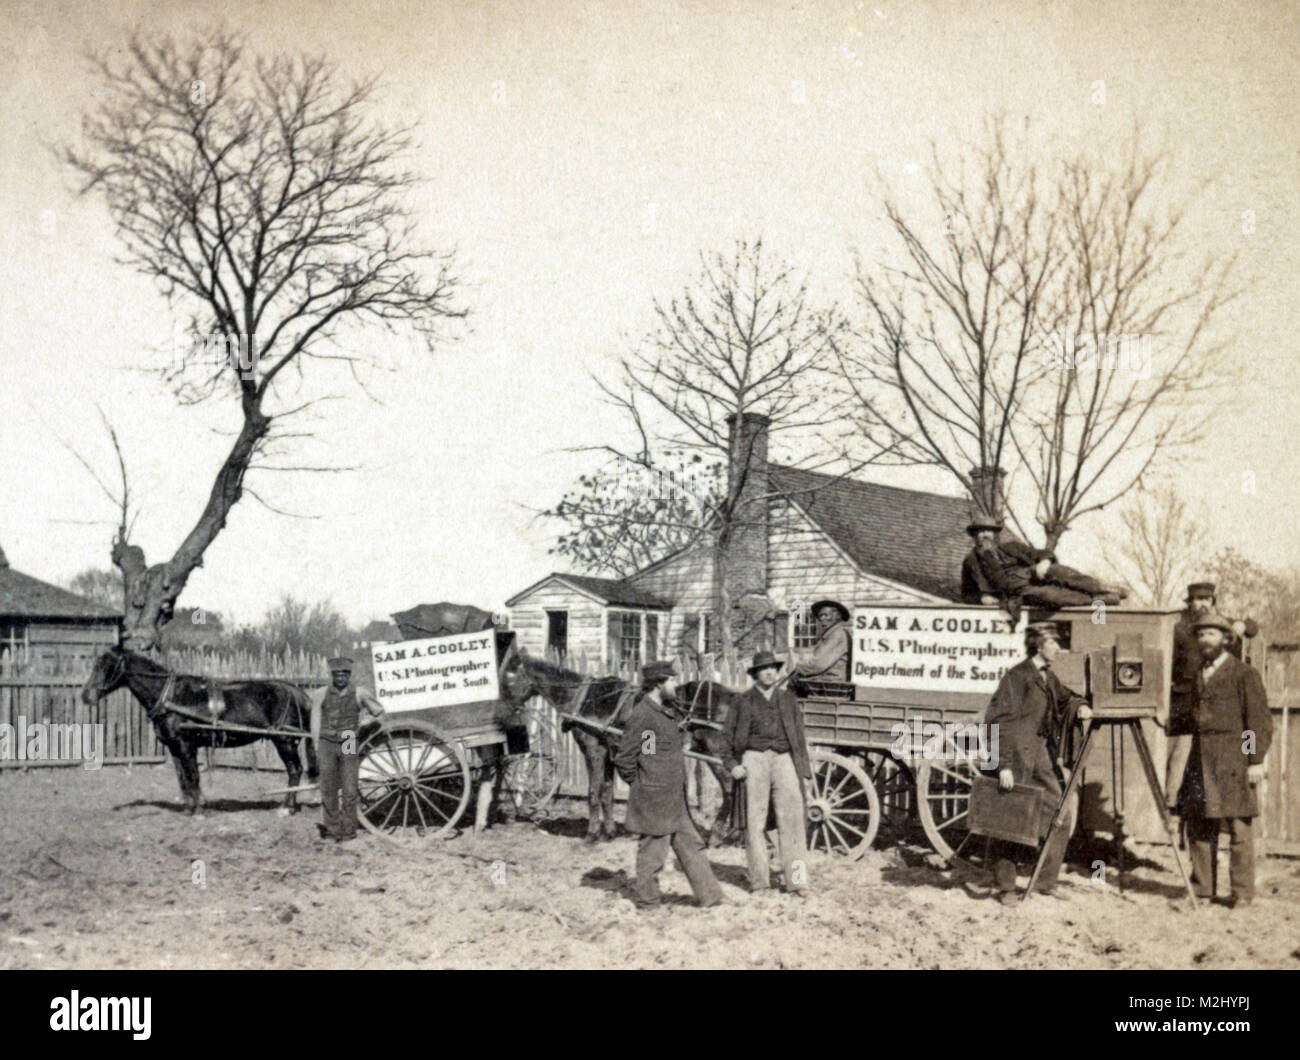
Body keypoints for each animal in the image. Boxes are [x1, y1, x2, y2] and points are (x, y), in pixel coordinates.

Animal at [82, 642, 318, 816]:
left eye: (105, 665)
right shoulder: (174, 747)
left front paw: (199, 810)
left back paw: (287, 807)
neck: (170, 696)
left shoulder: (186, 745)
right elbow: (182, 778)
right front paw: (188, 808)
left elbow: (193, 775)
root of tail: (300, 694)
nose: (86, 695)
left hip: (285, 741)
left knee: (295, 770)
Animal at [496, 655, 743, 848]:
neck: (585, 698)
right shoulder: (609, 753)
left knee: (730, 788)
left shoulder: (593, 751)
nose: (503, 710)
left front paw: (592, 835)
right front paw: (609, 832)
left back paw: (718, 835)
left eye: (510, 677)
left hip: (716, 753)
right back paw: (735, 834)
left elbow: (594, 792)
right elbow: (607, 792)